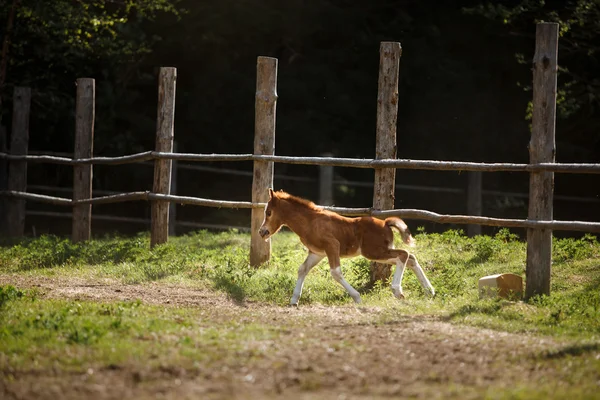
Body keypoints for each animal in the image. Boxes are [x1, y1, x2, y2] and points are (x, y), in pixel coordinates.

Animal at [258, 189, 436, 304]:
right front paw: (294, 299)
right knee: (410, 258)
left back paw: (398, 290)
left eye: (269, 212)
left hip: (374, 252)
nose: (262, 232)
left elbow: (336, 273)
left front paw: (357, 297)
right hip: (379, 252)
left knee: (404, 255)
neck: (310, 222)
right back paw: (429, 291)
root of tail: (385, 222)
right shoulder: (317, 253)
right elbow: (302, 269)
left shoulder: (332, 246)